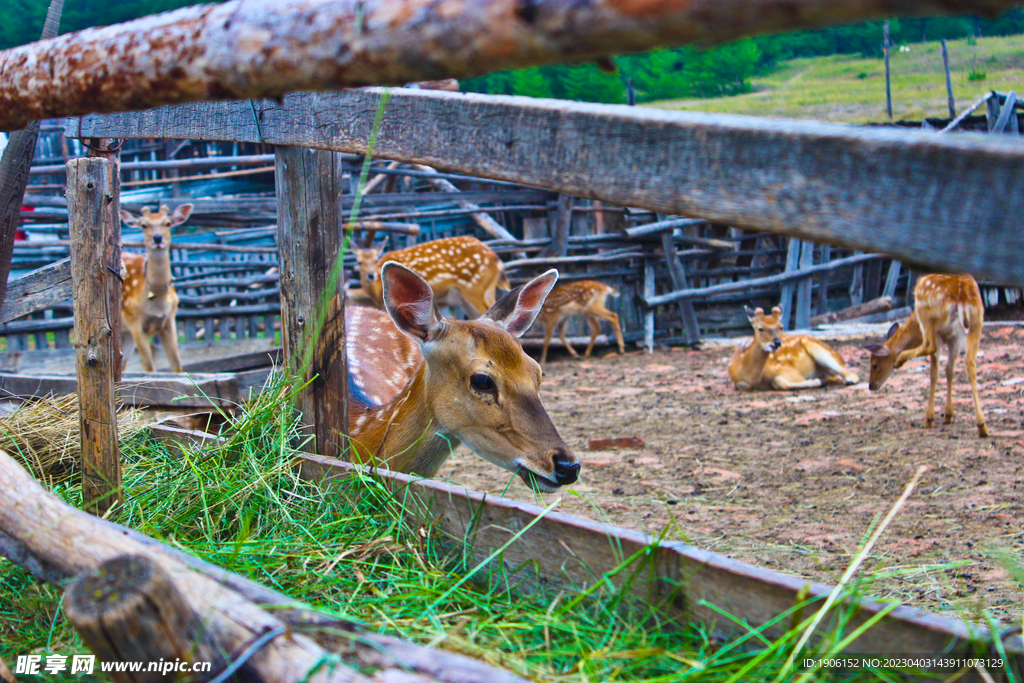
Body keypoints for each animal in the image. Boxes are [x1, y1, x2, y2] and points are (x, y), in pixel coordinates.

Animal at [118, 204, 192, 373]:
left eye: (168, 223)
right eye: (144, 225)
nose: (157, 238)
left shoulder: (170, 319)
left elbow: (177, 365)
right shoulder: (134, 321)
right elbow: (149, 367)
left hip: (125, 334)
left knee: (121, 364)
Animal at [354, 235, 510, 319]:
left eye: (375, 260)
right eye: (359, 261)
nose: (371, 275)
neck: (376, 292)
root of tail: (496, 258)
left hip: (474, 286)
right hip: (480, 291)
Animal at [728, 305, 859, 391]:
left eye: (781, 327)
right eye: (760, 328)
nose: (777, 343)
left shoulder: (788, 371)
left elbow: (778, 381)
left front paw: (817, 381)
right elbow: (742, 385)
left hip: (820, 350)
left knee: (850, 374)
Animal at [862, 274, 988, 437]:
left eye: (874, 365)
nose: (871, 385)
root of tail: (961, 297)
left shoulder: (942, 334)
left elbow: (934, 372)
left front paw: (930, 418)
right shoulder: (954, 339)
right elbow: (949, 371)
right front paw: (948, 415)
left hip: (928, 316)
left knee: (930, 345)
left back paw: (901, 359)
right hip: (976, 321)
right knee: (970, 363)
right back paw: (982, 426)